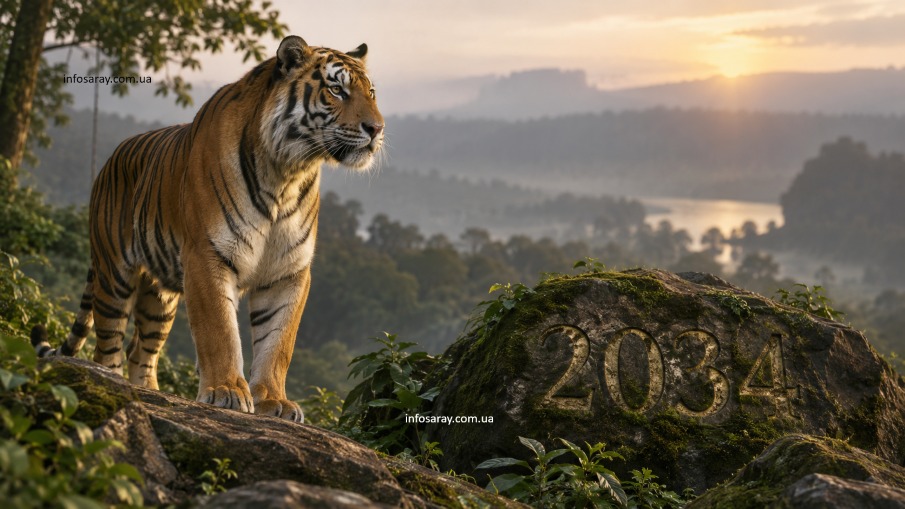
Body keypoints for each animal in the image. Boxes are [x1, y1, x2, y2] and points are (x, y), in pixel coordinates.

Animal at [31, 35, 384, 423]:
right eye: (337, 90)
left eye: (371, 93)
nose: (377, 129)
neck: (288, 172)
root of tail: (110, 159)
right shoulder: (207, 255)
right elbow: (219, 330)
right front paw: (227, 391)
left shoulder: (288, 271)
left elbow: (278, 342)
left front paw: (274, 400)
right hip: (114, 277)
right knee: (107, 347)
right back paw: (112, 384)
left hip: (159, 300)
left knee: (142, 351)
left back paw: (151, 392)